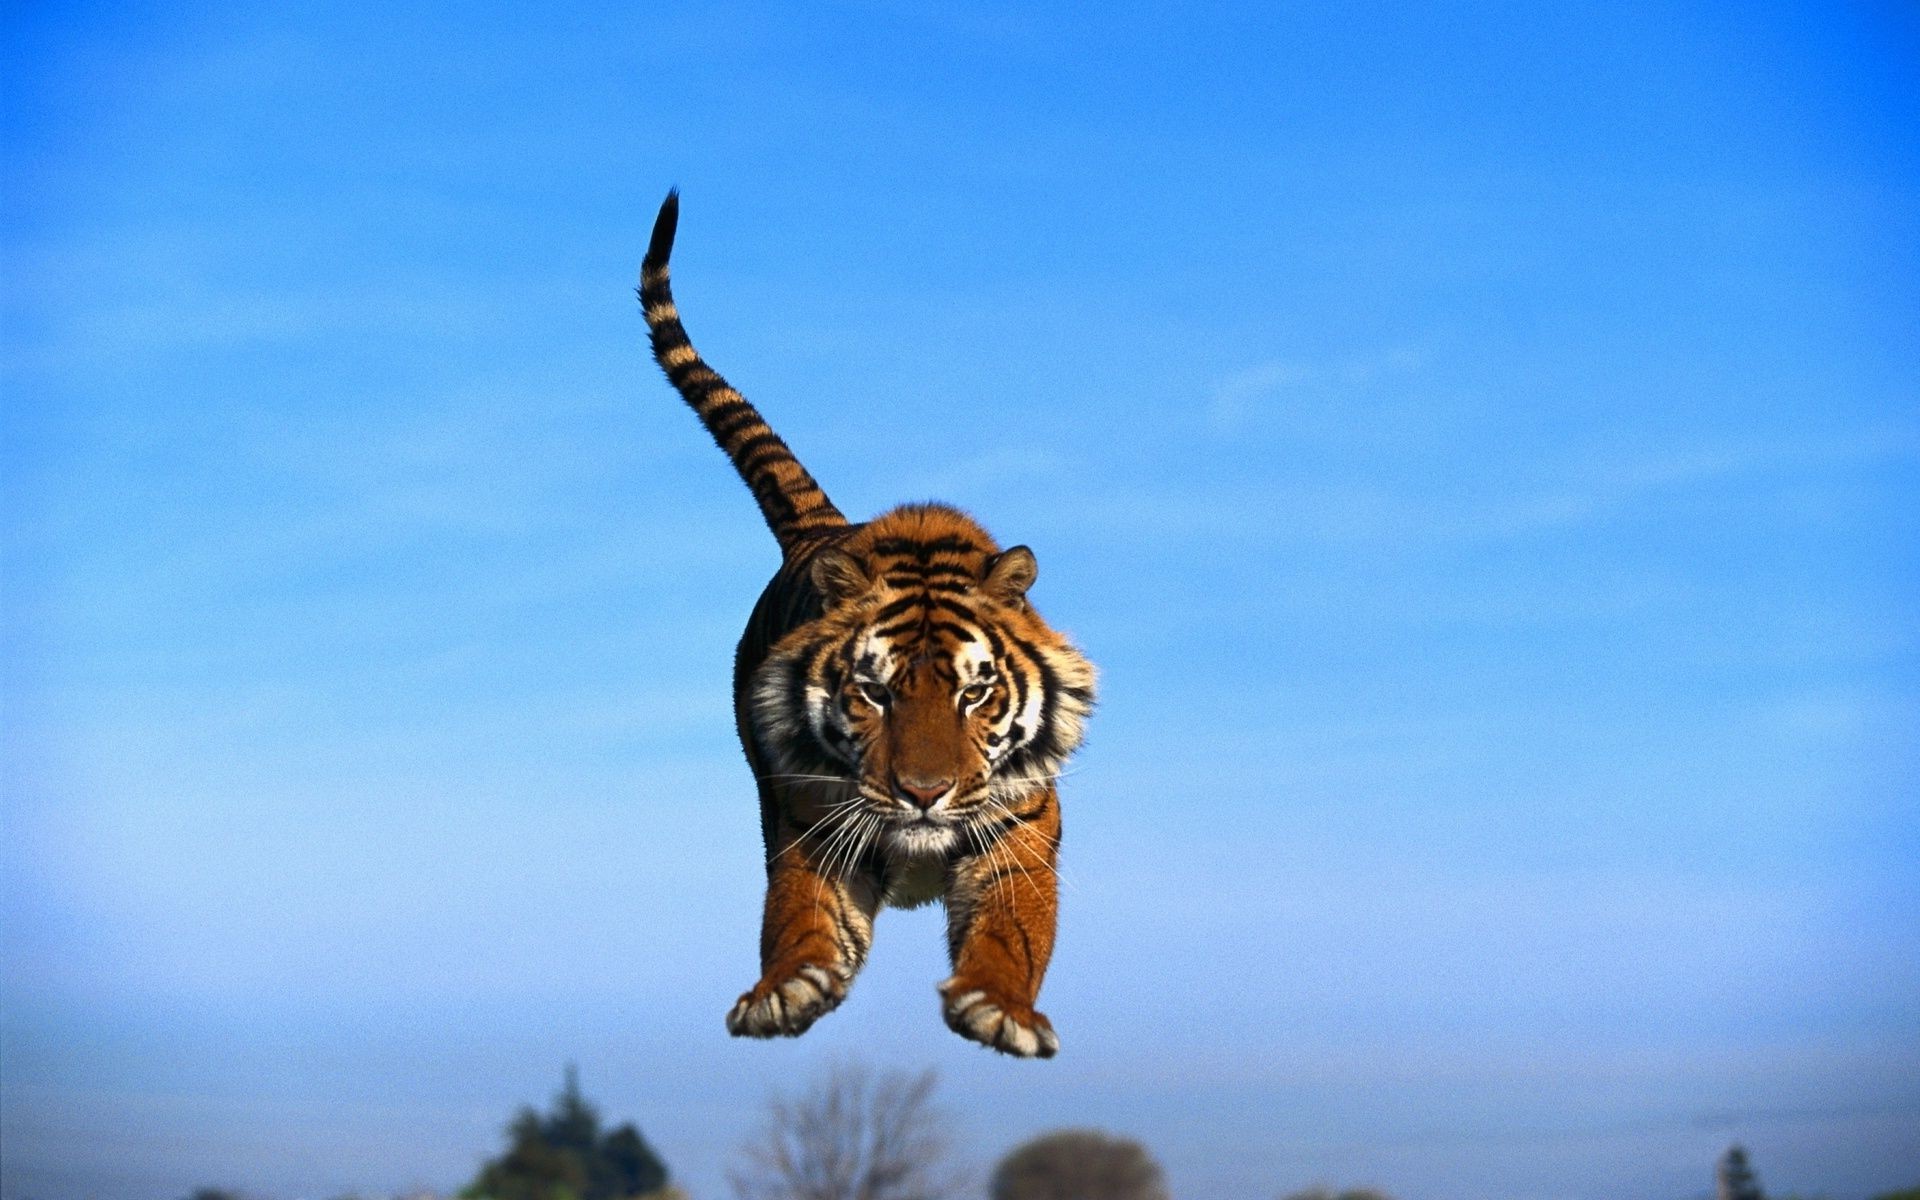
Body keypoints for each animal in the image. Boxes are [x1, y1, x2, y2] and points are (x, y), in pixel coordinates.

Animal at [637, 189, 1098, 1059]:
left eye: (975, 694)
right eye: (874, 693)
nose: (922, 794)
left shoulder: (1018, 831)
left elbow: (1014, 931)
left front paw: (998, 1009)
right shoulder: (812, 823)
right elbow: (800, 919)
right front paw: (784, 992)